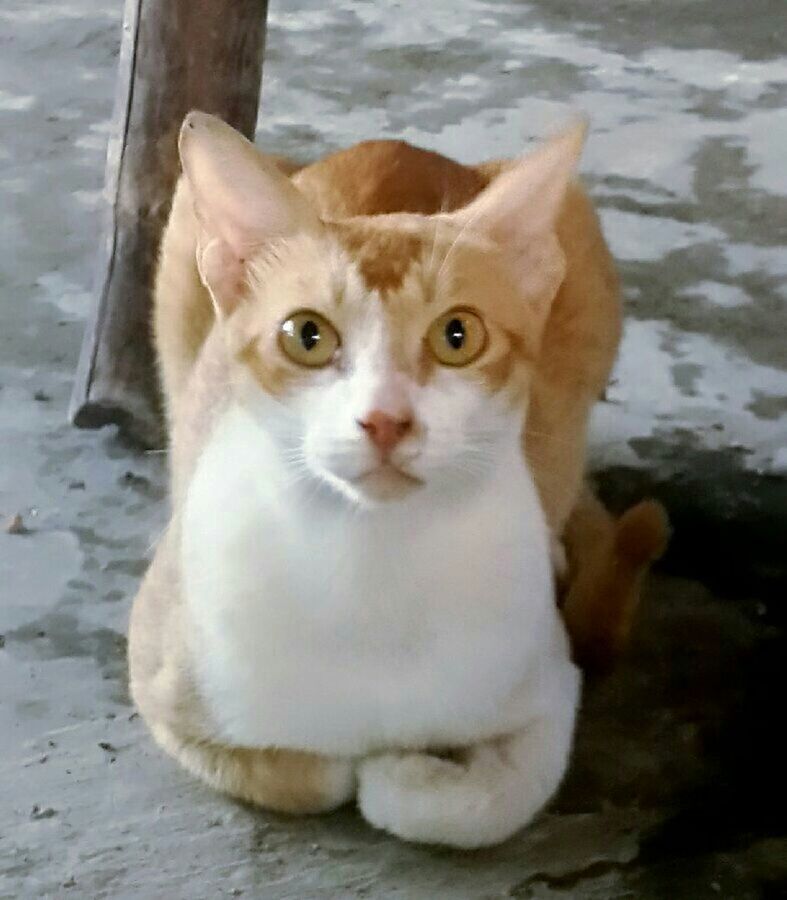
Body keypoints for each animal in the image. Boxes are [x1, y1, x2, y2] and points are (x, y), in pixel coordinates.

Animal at [132, 110, 668, 844]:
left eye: (457, 335)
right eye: (306, 336)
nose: (385, 420)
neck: (371, 564)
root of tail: (396, 145)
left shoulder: (552, 691)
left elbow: (475, 805)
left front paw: (406, 770)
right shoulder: (158, 679)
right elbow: (308, 777)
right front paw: (352, 763)